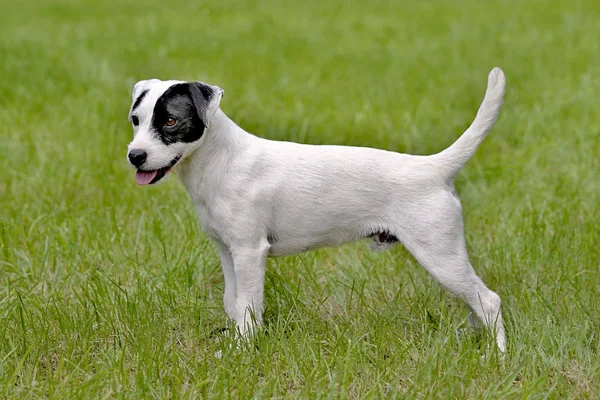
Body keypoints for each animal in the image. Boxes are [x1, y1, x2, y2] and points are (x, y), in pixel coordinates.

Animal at [125, 67, 506, 352]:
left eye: (171, 121)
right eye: (135, 120)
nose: (135, 156)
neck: (221, 159)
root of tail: (433, 168)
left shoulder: (249, 252)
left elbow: (248, 307)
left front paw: (242, 351)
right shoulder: (228, 251)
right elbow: (233, 302)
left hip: (440, 254)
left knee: (489, 300)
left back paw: (497, 357)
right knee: (475, 301)